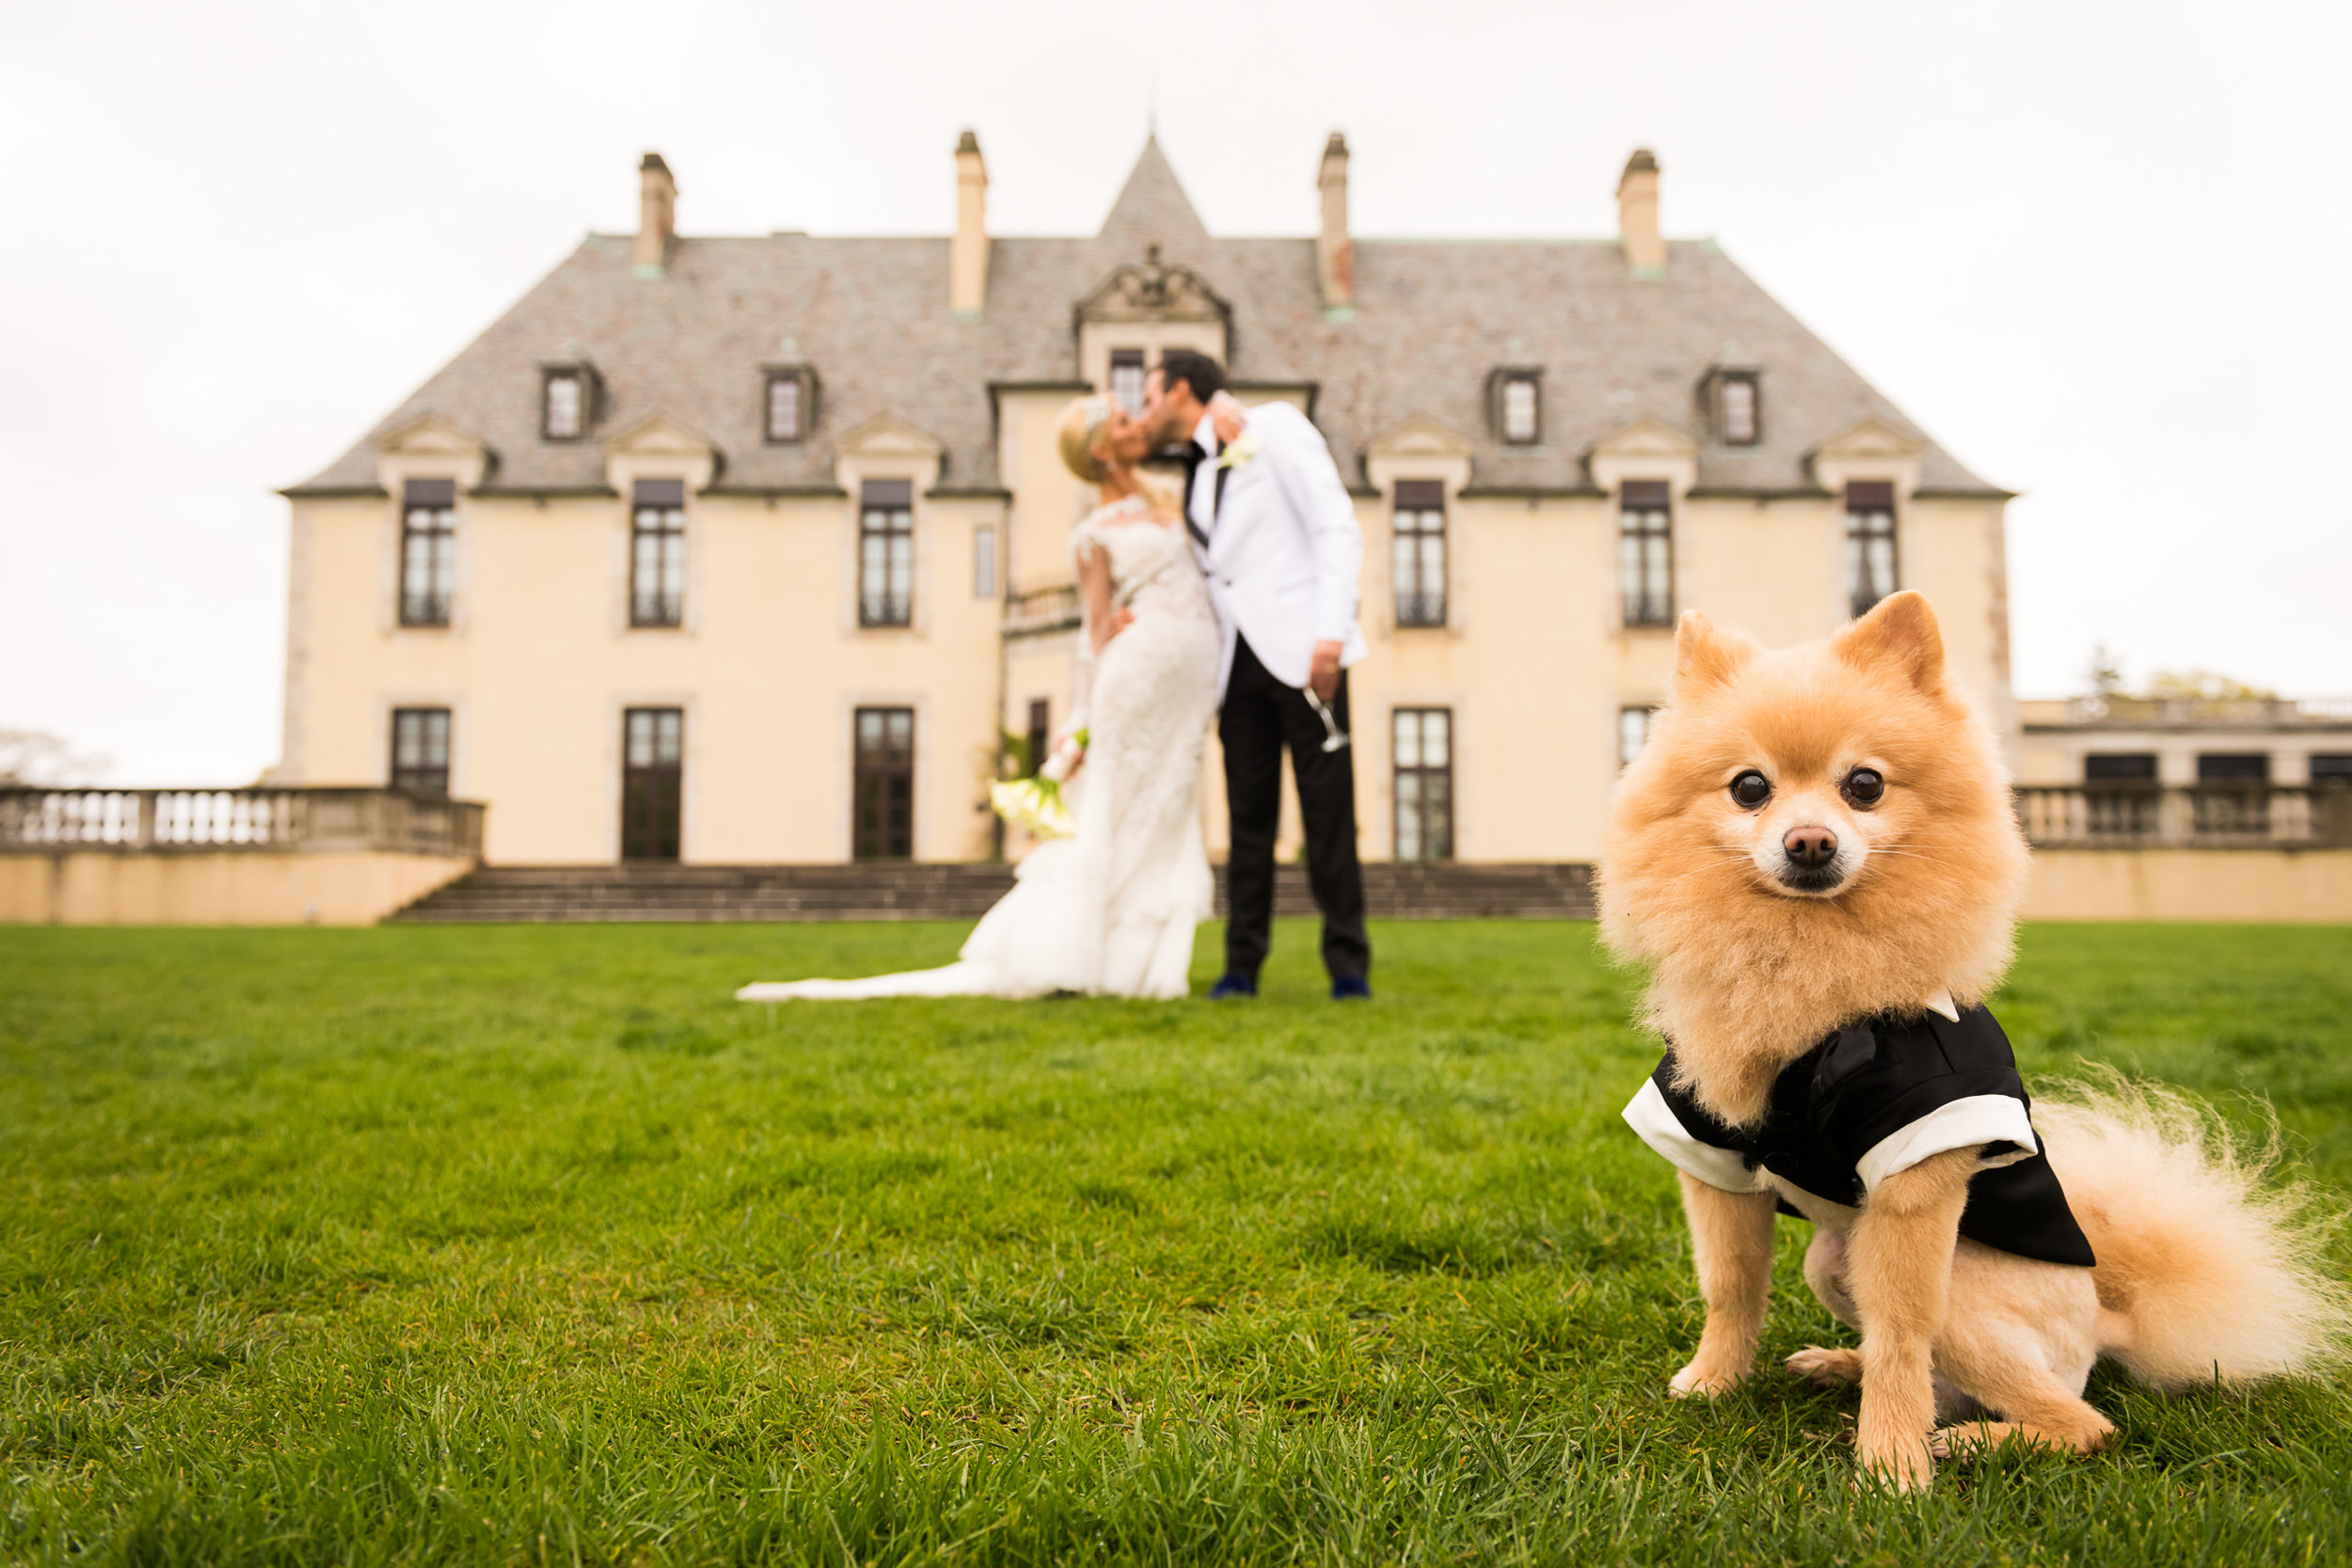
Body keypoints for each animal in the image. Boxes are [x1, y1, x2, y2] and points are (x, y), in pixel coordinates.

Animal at [1599, 592, 2352, 1495]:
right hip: (1836, 1258)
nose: (1810, 841)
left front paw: (1891, 1462)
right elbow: (1733, 1285)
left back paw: (1961, 1441)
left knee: (2083, 1422)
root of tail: (2111, 1318)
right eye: (1750, 787)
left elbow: (1902, 1330)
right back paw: (1847, 1370)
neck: (1805, 957)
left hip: (1950, 1286)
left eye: (1864, 785)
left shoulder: (1917, 1170)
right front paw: (1714, 1381)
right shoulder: (1710, 1149)